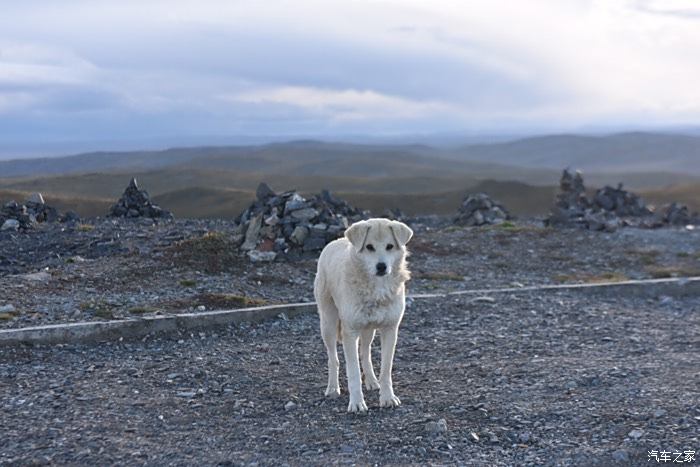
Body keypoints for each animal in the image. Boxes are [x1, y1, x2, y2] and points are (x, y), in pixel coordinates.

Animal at [314, 218, 412, 412]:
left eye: (390, 246)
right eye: (369, 247)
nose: (381, 266)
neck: (377, 288)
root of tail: (335, 241)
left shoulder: (390, 330)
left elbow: (386, 370)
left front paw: (387, 398)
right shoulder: (350, 332)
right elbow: (353, 373)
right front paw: (357, 403)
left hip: (369, 330)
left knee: (365, 352)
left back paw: (372, 381)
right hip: (328, 324)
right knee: (333, 359)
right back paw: (332, 388)